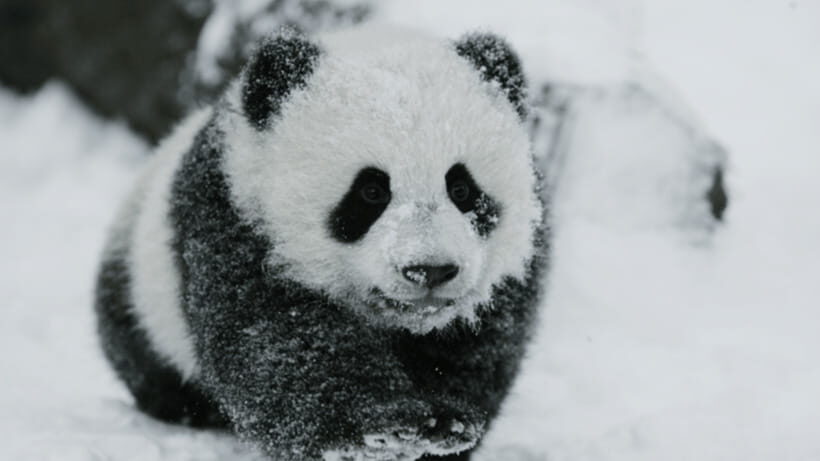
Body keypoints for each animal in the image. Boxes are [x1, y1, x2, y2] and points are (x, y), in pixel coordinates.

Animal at [95, 26, 548, 461]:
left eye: (462, 188)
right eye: (370, 192)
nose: (430, 270)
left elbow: (477, 351)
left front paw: (445, 423)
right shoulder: (234, 220)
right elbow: (279, 342)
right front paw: (383, 426)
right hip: (140, 297)